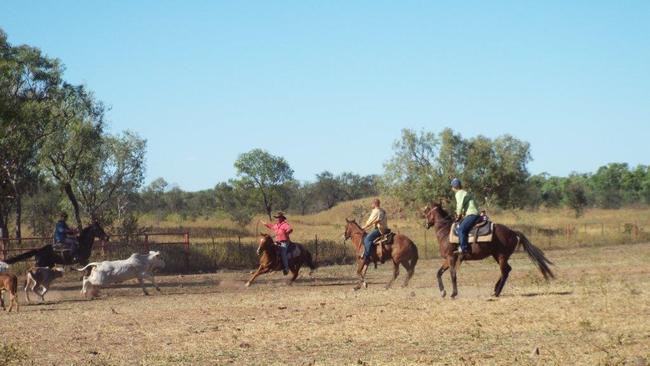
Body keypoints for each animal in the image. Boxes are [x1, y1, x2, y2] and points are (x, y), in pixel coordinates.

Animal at [422, 202, 556, 298]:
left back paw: (496, 292)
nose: (426, 225)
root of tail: (513, 232)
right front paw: (443, 292)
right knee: (507, 270)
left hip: (501, 256)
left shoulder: (451, 258)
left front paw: (453, 293)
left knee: (504, 272)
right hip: (498, 255)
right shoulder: (448, 259)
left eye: (427, 211)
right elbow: (439, 273)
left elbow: (453, 274)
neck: (445, 231)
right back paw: (495, 290)